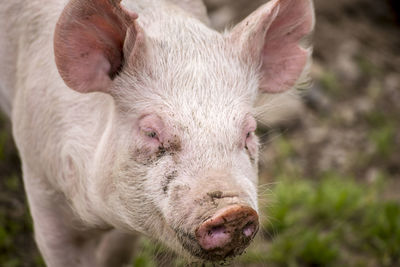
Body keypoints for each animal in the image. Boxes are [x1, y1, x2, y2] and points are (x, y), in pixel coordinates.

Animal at [0, 0, 312, 266]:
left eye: (249, 132)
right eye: (151, 132)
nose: (233, 210)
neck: (100, 218)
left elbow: (118, 253)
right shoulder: (41, 182)